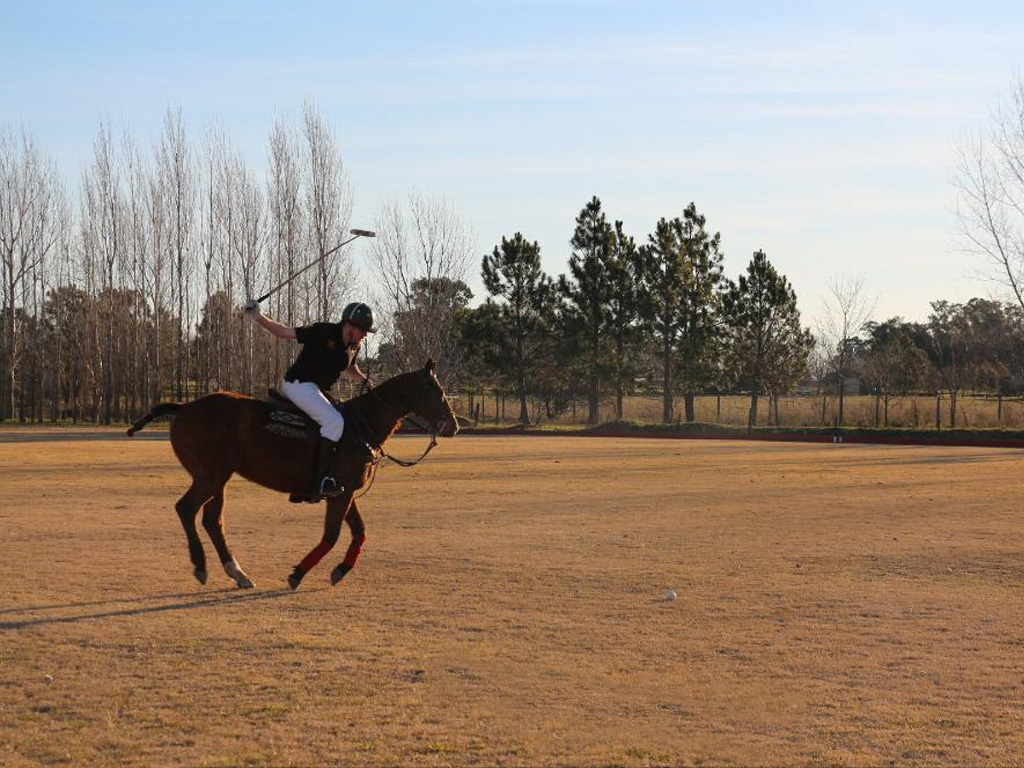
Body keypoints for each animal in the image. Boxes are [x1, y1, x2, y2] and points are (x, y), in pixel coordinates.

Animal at [125, 360, 458, 589]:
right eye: (436, 391)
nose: (454, 426)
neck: (362, 426)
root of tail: (183, 407)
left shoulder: (343, 490)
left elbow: (360, 531)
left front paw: (340, 570)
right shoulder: (340, 493)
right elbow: (332, 535)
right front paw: (298, 573)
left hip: (218, 477)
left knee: (212, 520)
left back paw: (237, 572)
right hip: (209, 475)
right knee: (186, 508)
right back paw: (201, 566)